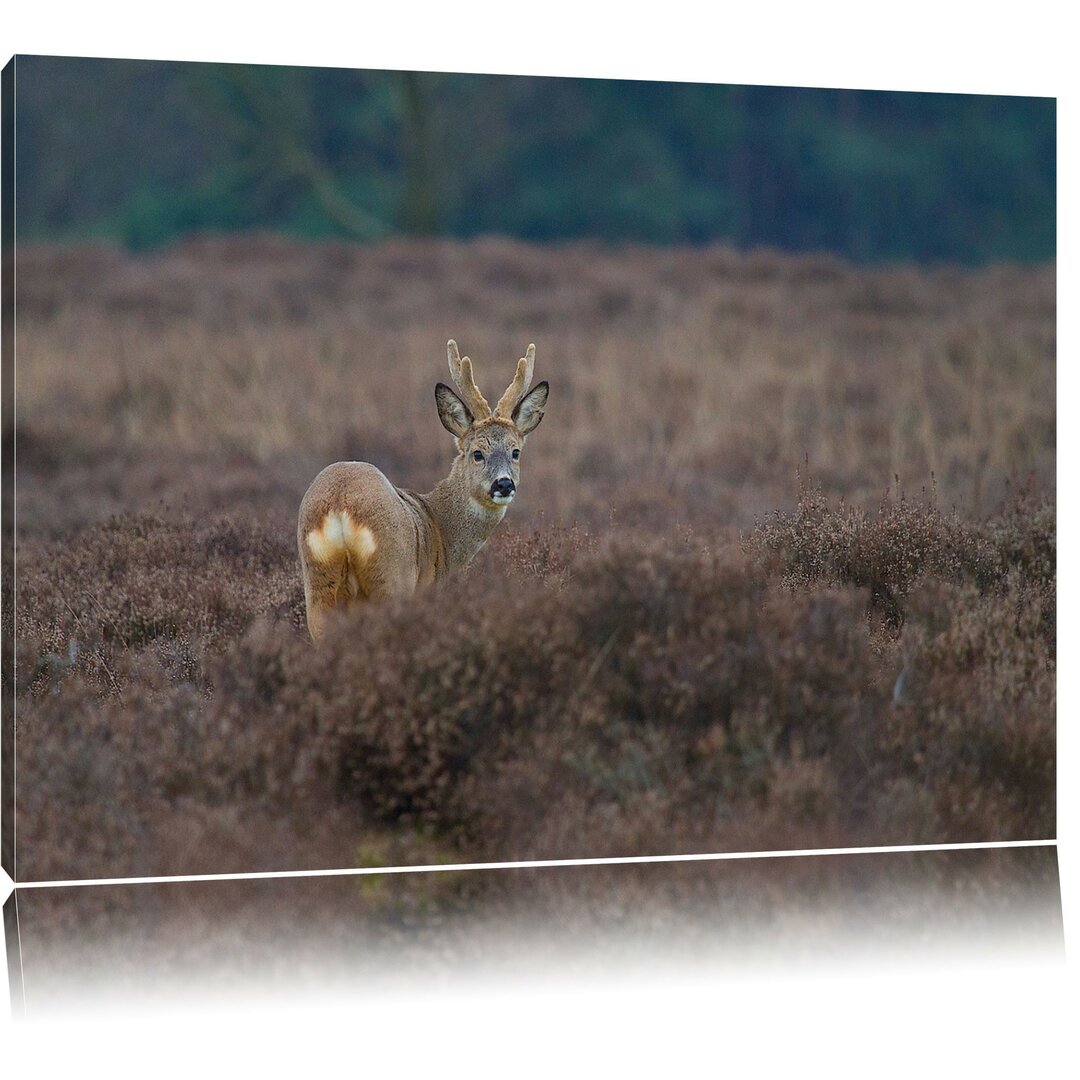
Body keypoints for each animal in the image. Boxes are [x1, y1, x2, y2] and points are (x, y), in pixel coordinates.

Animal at [295, 339, 548, 639]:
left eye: (515, 451)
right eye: (477, 453)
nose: (504, 483)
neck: (440, 528)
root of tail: (340, 505)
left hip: (318, 582)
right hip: (392, 575)